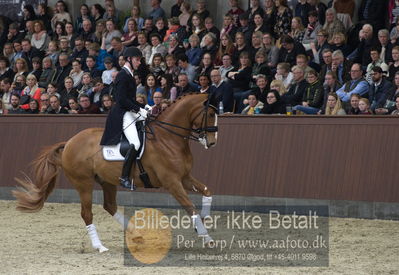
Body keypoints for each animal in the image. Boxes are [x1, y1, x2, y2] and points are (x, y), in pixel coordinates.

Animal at [12, 94, 219, 253]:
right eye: (210, 114)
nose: (211, 142)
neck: (168, 138)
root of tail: (69, 142)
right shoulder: (172, 182)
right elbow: (189, 206)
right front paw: (205, 236)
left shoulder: (184, 177)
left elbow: (207, 191)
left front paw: (204, 219)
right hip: (83, 183)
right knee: (87, 214)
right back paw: (100, 247)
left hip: (107, 181)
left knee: (110, 206)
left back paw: (137, 235)